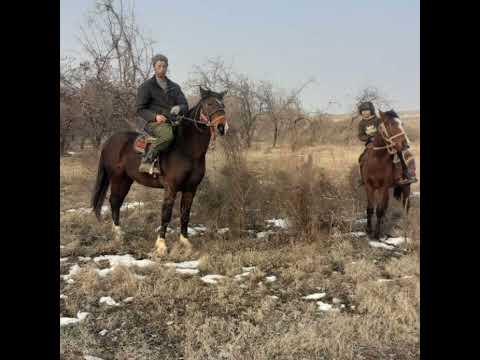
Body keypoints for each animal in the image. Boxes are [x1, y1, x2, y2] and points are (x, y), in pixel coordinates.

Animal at [90, 87, 229, 256]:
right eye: (209, 104)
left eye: (223, 104)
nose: (222, 127)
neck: (187, 150)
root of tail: (109, 142)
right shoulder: (171, 188)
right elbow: (166, 214)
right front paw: (161, 245)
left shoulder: (191, 189)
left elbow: (185, 214)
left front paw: (185, 242)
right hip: (117, 178)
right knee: (114, 201)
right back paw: (118, 234)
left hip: (126, 180)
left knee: (117, 201)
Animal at [360, 109, 412, 239]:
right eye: (390, 124)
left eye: (402, 124)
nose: (406, 144)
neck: (377, 161)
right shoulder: (369, 186)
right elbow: (370, 208)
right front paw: (368, 230)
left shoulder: (383, 187)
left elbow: (379, 210)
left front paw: (376, 234)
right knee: (385, 207)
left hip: (405, 187)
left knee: (406, 205)